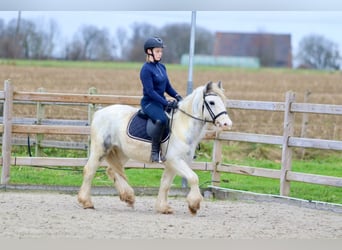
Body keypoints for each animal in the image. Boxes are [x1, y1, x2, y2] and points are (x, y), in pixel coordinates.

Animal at [77, 81, 232, 214]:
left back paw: (128, 197)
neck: (182, 127)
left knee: (112, 170)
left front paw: (163, 208)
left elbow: (165, 184)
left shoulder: (172, 164)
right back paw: (86, 202)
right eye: (212, 102)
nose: (227, 124)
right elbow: (193, 178)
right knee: (89, 171)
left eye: (223, 101)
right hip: (100, 149)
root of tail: (99, 113)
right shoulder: (175, 160)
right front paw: (194, 205)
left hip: (122, 152)